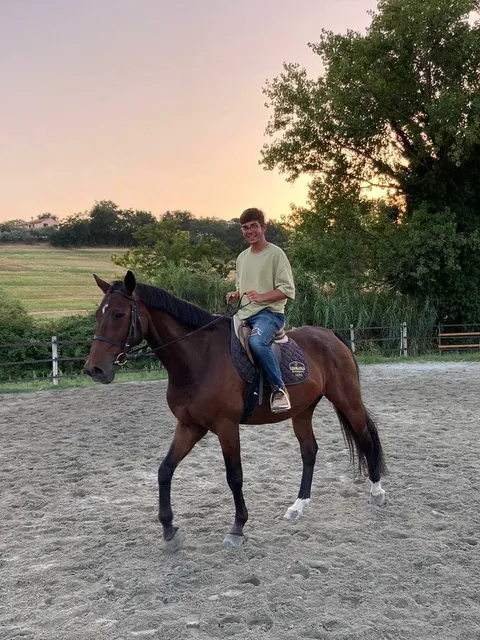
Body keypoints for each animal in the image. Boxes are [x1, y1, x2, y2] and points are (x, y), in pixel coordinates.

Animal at [83, 270, 387, 551]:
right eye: (99, 315)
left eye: (119, 315)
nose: (94, 370)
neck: (199, 359)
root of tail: (330, 335)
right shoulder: (190, 426)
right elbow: (165, 470)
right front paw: (169, 530)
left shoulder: (226, 426)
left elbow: (234, 476)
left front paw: (237, 528)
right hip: (302, 411)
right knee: (309, 451)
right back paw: (298, 506)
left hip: (347, 400)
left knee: (366, 437)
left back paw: (377, 491)